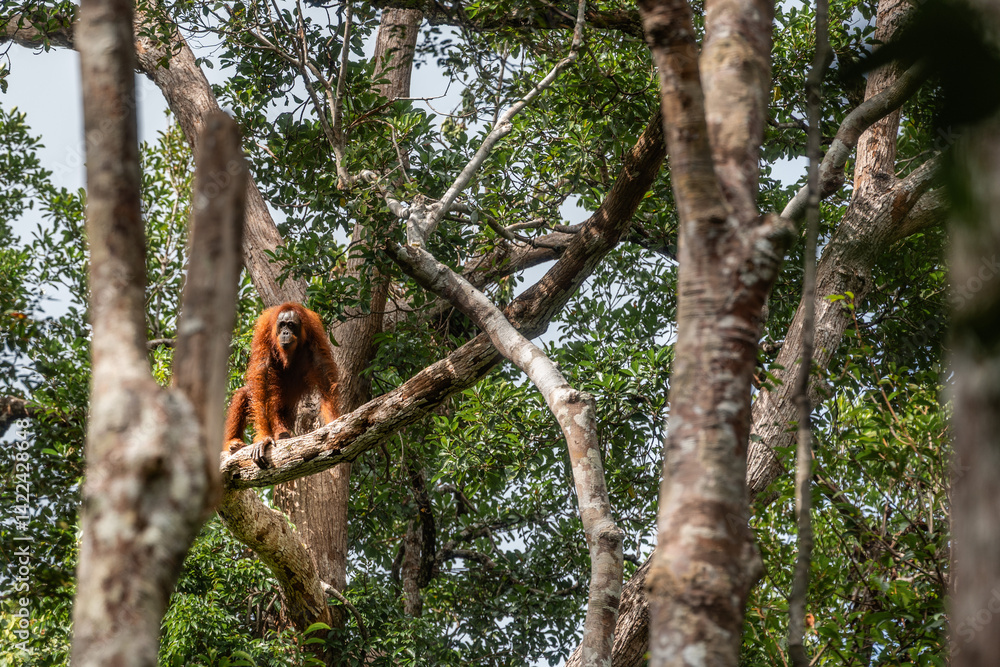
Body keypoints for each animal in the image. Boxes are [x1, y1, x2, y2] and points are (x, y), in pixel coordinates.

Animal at [224, 302, 340, 467]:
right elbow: (261, 374)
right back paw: (233, 442)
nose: (285, 333)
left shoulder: (314, 331)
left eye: (291, 325)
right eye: (282, 325)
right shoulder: (264, 330)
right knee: (245, 394)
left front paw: (335, 422)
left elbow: (323, 373)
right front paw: (264, 438)